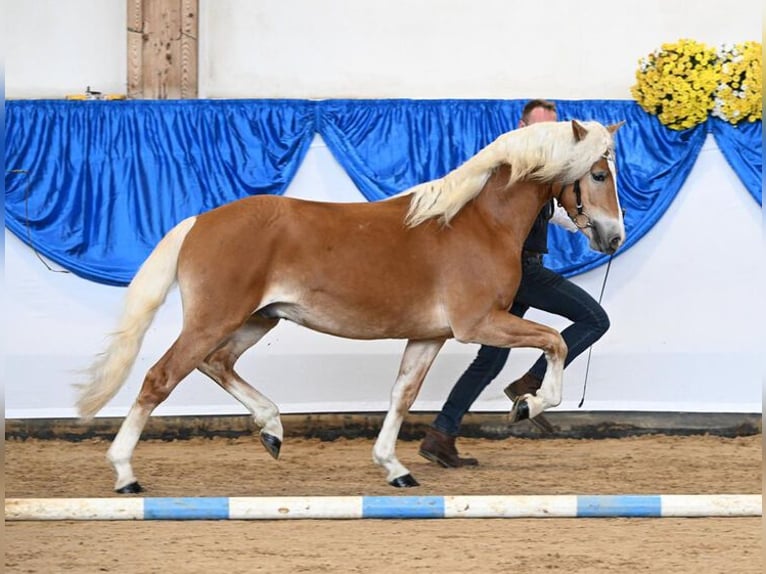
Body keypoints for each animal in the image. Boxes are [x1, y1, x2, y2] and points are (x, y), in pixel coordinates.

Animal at [76, 119, 625, 491]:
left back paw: (272, 430)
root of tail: (200, 221)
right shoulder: (479, 325)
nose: (614, 236)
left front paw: (395, 468)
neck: (475, 222)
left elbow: (401, 396)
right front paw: (528, 404)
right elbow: (555, 342)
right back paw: (125, 474)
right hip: (215, 319)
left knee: (216, 363)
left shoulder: (428, 336)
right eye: (599, 174)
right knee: (160, 377)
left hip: (257, 319)